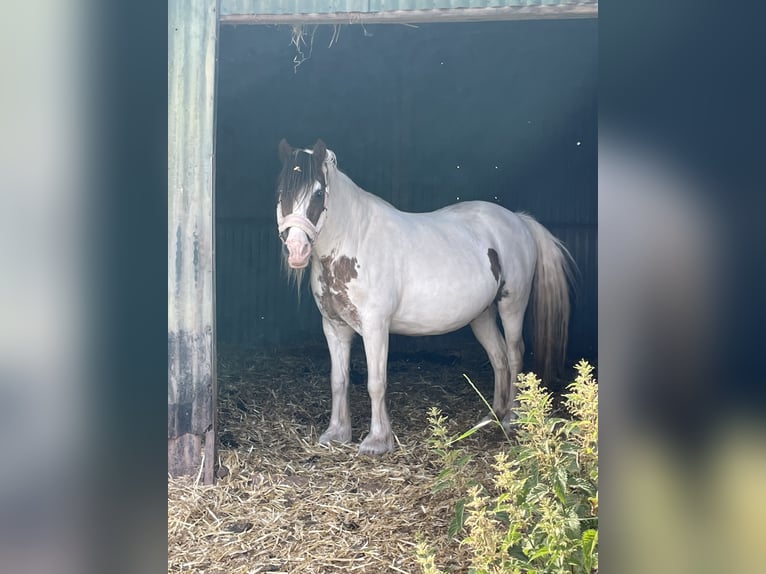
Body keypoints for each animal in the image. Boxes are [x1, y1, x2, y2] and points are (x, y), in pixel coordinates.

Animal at [278, 138, 576, 454]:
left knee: (515, 355)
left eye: (318, 192)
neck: (353, 241)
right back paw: (493, 415)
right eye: (282, 191)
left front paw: (377, 441)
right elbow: (338, 380)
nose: (296, 250)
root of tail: (519, 220)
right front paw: (336, 433)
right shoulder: (334, 327)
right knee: (499, 358)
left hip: (512, 306)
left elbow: (376, 382)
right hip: (482, 315)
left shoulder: (375, 327)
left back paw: (513, 419)